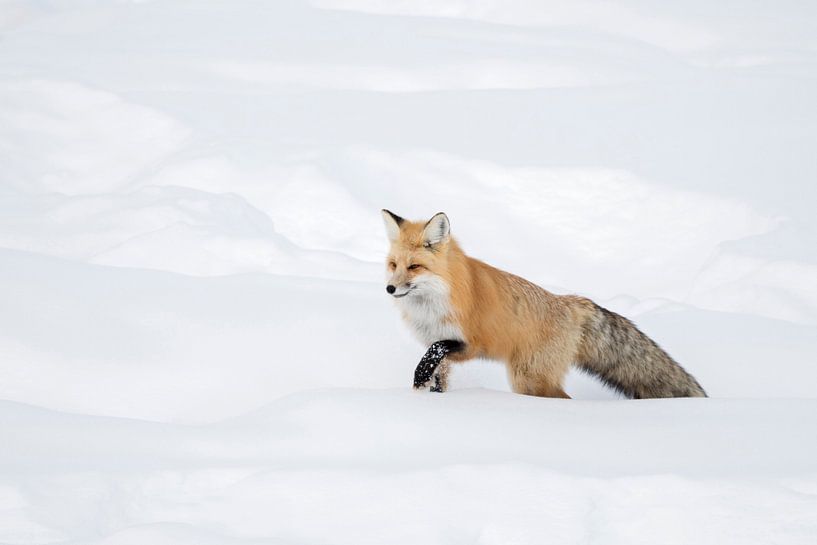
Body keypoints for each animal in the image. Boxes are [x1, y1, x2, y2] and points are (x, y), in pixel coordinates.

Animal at [381, 209, 706, 399]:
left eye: (414, 267)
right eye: (394, 265)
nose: (390, 288)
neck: (432, 306)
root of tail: (571, 302)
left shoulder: (469, 343)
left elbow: (435, 352)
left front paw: (419, 379)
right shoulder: (441, 348)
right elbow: (437, 373)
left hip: (528, 378)